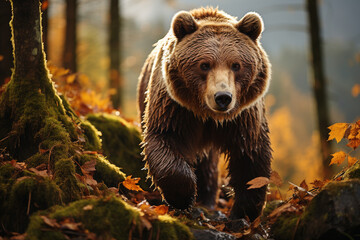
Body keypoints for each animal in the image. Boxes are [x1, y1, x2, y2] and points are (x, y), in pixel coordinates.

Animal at [136, 7, 272, 221]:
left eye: (236, 65)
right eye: (204, 64)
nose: (223, 97)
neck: (209, 116)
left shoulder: (243, 116)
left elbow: (250, 156)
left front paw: (244, 211)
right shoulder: (175, 108)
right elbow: (165, 140)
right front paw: (184, 195)